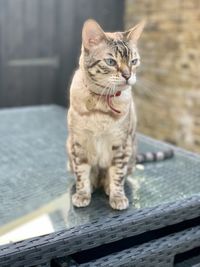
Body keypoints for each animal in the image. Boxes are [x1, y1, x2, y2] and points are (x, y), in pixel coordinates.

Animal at [67, 18, 172, 211]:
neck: (101, 103)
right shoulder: (79, 143)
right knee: (90, 176)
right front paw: (82, 195)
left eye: (134, 61)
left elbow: (117, 175)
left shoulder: (120, 145)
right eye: (110, 62)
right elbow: (82, 174)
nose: (127, 75)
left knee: (116, 176)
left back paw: (107, 188)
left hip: (130, 149)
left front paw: (117, 197)